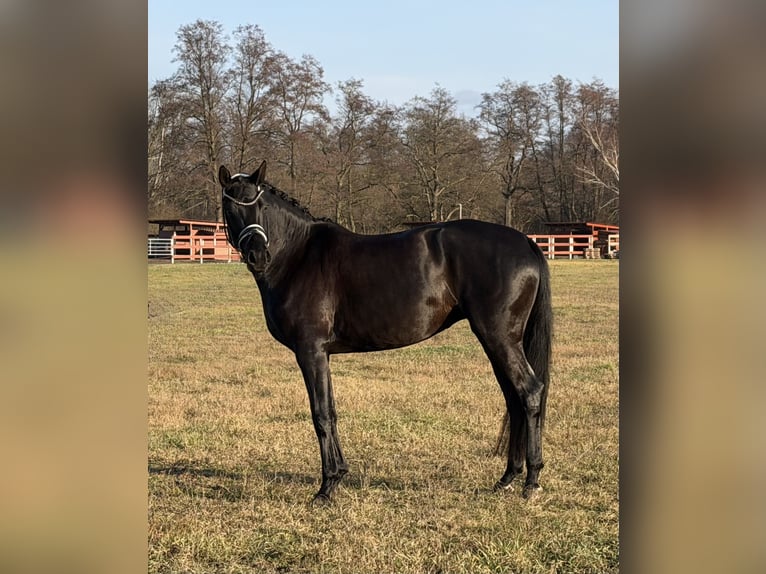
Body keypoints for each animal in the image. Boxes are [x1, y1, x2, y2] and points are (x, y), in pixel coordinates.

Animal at [220, 161, 552, 505]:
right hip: (497, 342)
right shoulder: (321, 353)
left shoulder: (311, 350)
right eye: (230, 207)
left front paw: (326, 488)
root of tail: (525, 242)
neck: (297, 255)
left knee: (530, 392)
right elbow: (332, 411)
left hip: (500, 338)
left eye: (260, 205)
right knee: (513, 399)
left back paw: (531, 481)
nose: (258, 255)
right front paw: (339, 475)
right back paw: (508, 477)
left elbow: (321, 414)